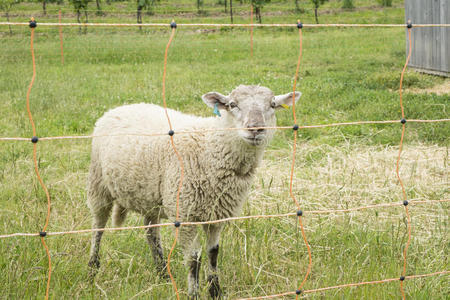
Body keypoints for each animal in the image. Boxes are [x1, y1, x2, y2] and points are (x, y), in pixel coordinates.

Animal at [86, 84, 300, 298]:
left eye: (272, 104)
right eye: (232, 104)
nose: (255, 128)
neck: (212, 146)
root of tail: (122, 107)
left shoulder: (217, 214)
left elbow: (213, 253)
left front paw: (215, 291)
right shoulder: (185, 214)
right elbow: (193, 259)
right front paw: (194, 294)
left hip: (150, 197)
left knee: (151, 233)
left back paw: (162, 273)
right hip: (98, 185)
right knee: (98, 227)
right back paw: (92, 270)